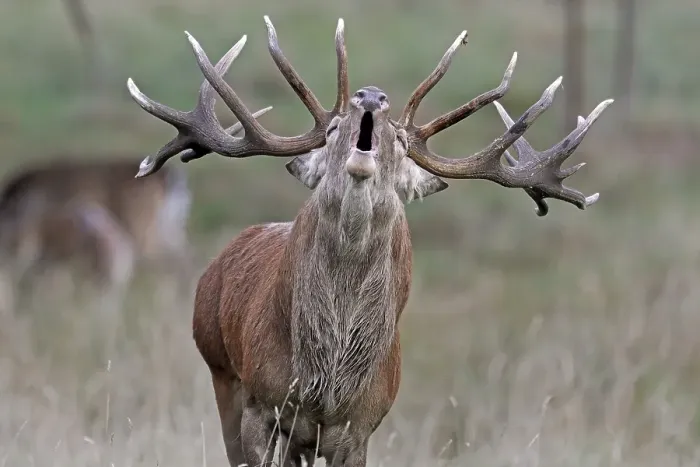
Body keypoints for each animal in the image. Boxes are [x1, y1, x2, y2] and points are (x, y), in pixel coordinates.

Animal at [126, 16, 613, 467]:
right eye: (331, 132)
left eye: (399, 141)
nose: (372, 96)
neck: (328, 384)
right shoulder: (260, 405)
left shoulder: (360, 427)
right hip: (220, 371)